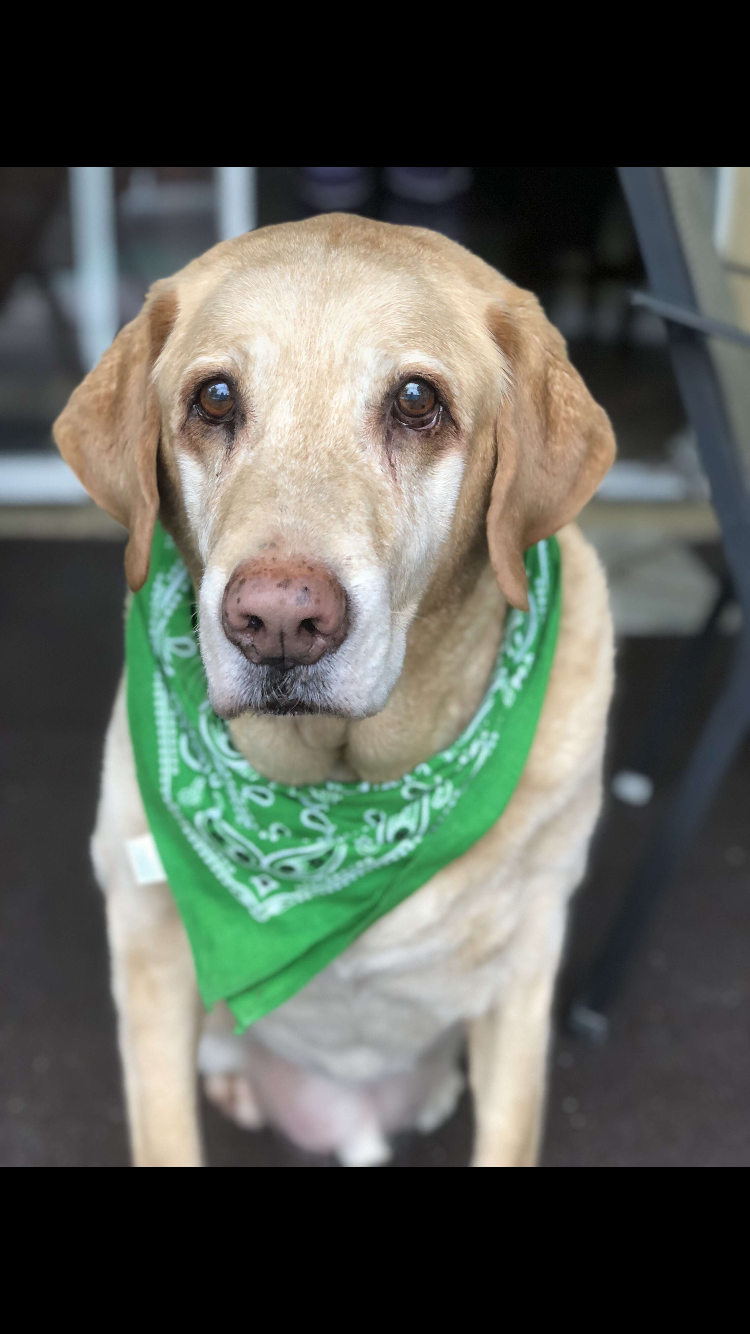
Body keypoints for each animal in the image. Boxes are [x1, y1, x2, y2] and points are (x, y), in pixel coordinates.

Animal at [54, 213, 615, 1167]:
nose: (278, 619)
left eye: (417, 400)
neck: (345, 789)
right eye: (214, 399)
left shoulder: (524, 970)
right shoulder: (147, 943)